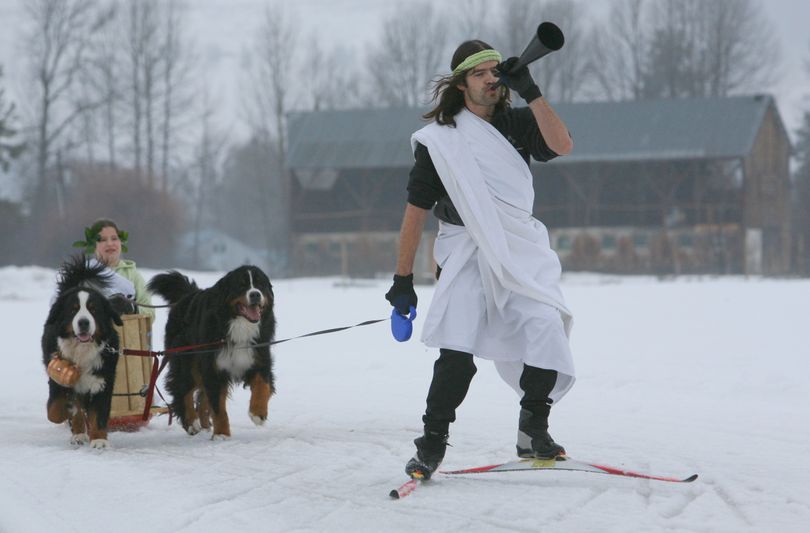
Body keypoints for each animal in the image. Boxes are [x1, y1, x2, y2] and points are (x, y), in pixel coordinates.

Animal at [41, 256, 121, 446]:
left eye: (93, 309)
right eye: (73, 309)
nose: (83, 322)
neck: (82, 350)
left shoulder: (103, 380)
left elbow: (98, 413)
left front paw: (99, 440)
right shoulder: (58, 376)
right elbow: (55, 410)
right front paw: (66, 412)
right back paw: (78, 434)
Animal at [150, 264, 276, 436]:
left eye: (260, 284)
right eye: (241, 285)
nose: (255, 294)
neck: (239, 327)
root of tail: (188, 296)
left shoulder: (259, 358)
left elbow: (263, 385)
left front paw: (258, 413)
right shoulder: (214, 367)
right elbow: (218, 408)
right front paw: (222, 434)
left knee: (202, 398)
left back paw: (204, 425)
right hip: (188, 361)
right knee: (183, 389)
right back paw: (191, 423)